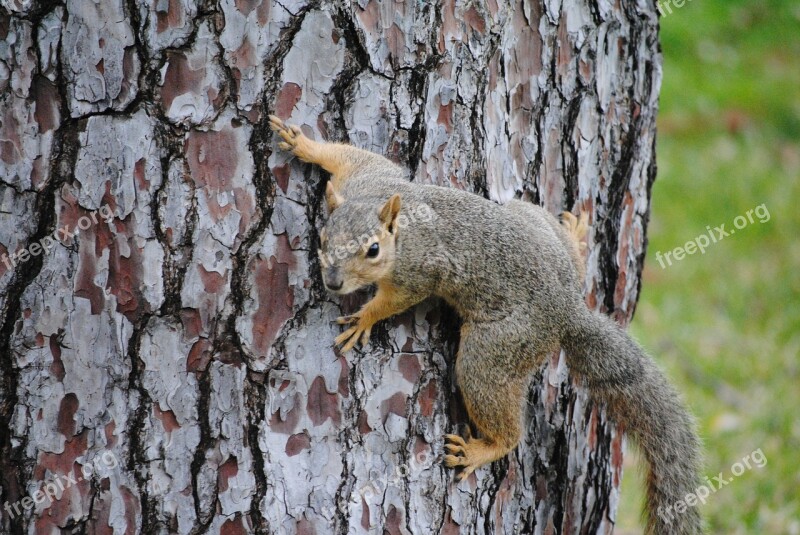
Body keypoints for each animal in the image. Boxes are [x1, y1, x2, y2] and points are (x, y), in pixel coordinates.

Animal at [268, 115, 700, 532]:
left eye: (373, 250)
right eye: (322, 237)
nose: (333, 282)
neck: (401, 230)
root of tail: (567, 310)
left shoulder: (418, 274)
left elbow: (396, 298)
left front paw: (364, 317)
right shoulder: (369, 177)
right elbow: (350, 157)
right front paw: (304, 144)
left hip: (497, 347)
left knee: (499, 411)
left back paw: (484, 448)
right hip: (529, 218)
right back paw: (576, 239)